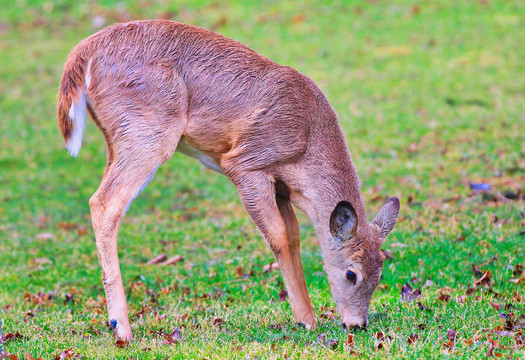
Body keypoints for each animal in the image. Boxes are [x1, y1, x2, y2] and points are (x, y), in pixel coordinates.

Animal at [57, 19, 400, 340]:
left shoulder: (281, 187)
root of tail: (83, 53)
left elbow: (293, 236)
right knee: (104, 202)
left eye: (381, 270)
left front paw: (306, 317)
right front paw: (307, 320)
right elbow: (278, 235)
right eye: (352, 274)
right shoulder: (246, 163)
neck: (305, 143)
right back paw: (122, 328)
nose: (357, 324)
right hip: (149, 133)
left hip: (119, 141)